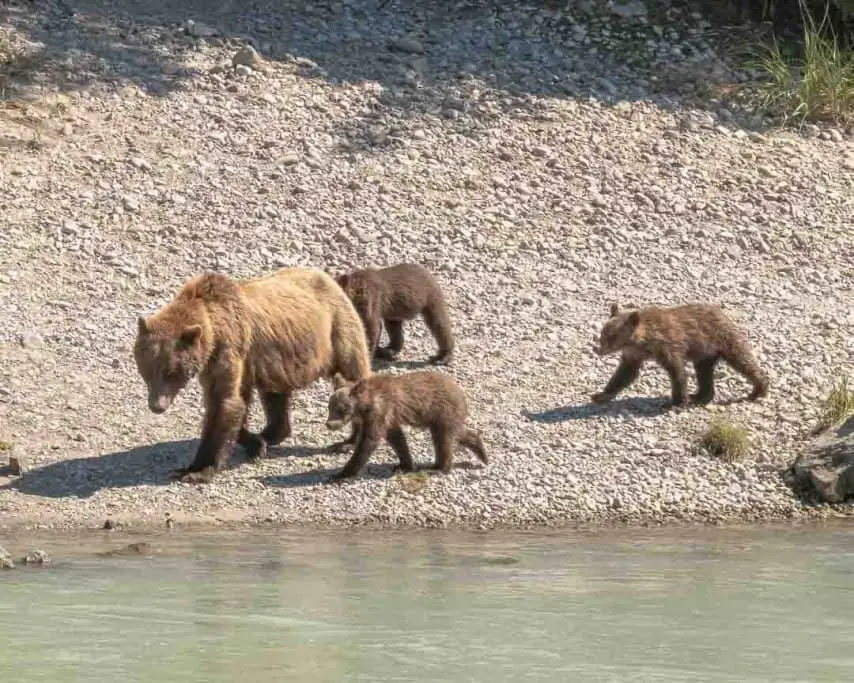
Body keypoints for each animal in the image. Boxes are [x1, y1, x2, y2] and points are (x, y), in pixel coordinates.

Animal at [135, 264, 372, 484]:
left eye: (171, 371)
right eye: (147, 370)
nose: (157, 406)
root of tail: (330, 279)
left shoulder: (230, 347)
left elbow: (225, 403)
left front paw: (197, 470)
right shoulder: (223, 363)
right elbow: (229, 403)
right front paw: (255, 444)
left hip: (339, 329)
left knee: (353, 377)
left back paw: (348, 442)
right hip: (280, 360)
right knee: (275, 394)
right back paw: (271, 433)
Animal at [328, 368, 488, 480]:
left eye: (341, 409)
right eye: (330, 407)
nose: (329, 424)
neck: (364, 406)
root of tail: (461, 391)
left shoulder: (380, 412)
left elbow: (369, 441)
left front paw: (342, 473)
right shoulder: (387, 418)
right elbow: (397, 439)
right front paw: (405, 465)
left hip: (443, 411)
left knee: (444, 439)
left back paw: (438, 467)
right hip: (440, 417)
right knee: (456, 433)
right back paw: (481, 451)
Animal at [592, 304, 772, 408]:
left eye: (611, 336)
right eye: (603, 334)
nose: (599, 350)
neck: (643, 341)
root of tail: (723, 312)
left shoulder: (668, 345)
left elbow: (676, 371)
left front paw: (677, 402)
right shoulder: (634, 354)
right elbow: (625, 373)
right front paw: (601, 394)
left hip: (721, 339)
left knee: (742, 360)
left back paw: (758, 389)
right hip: (704, 353)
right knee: (704, 372)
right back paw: (700, 396)